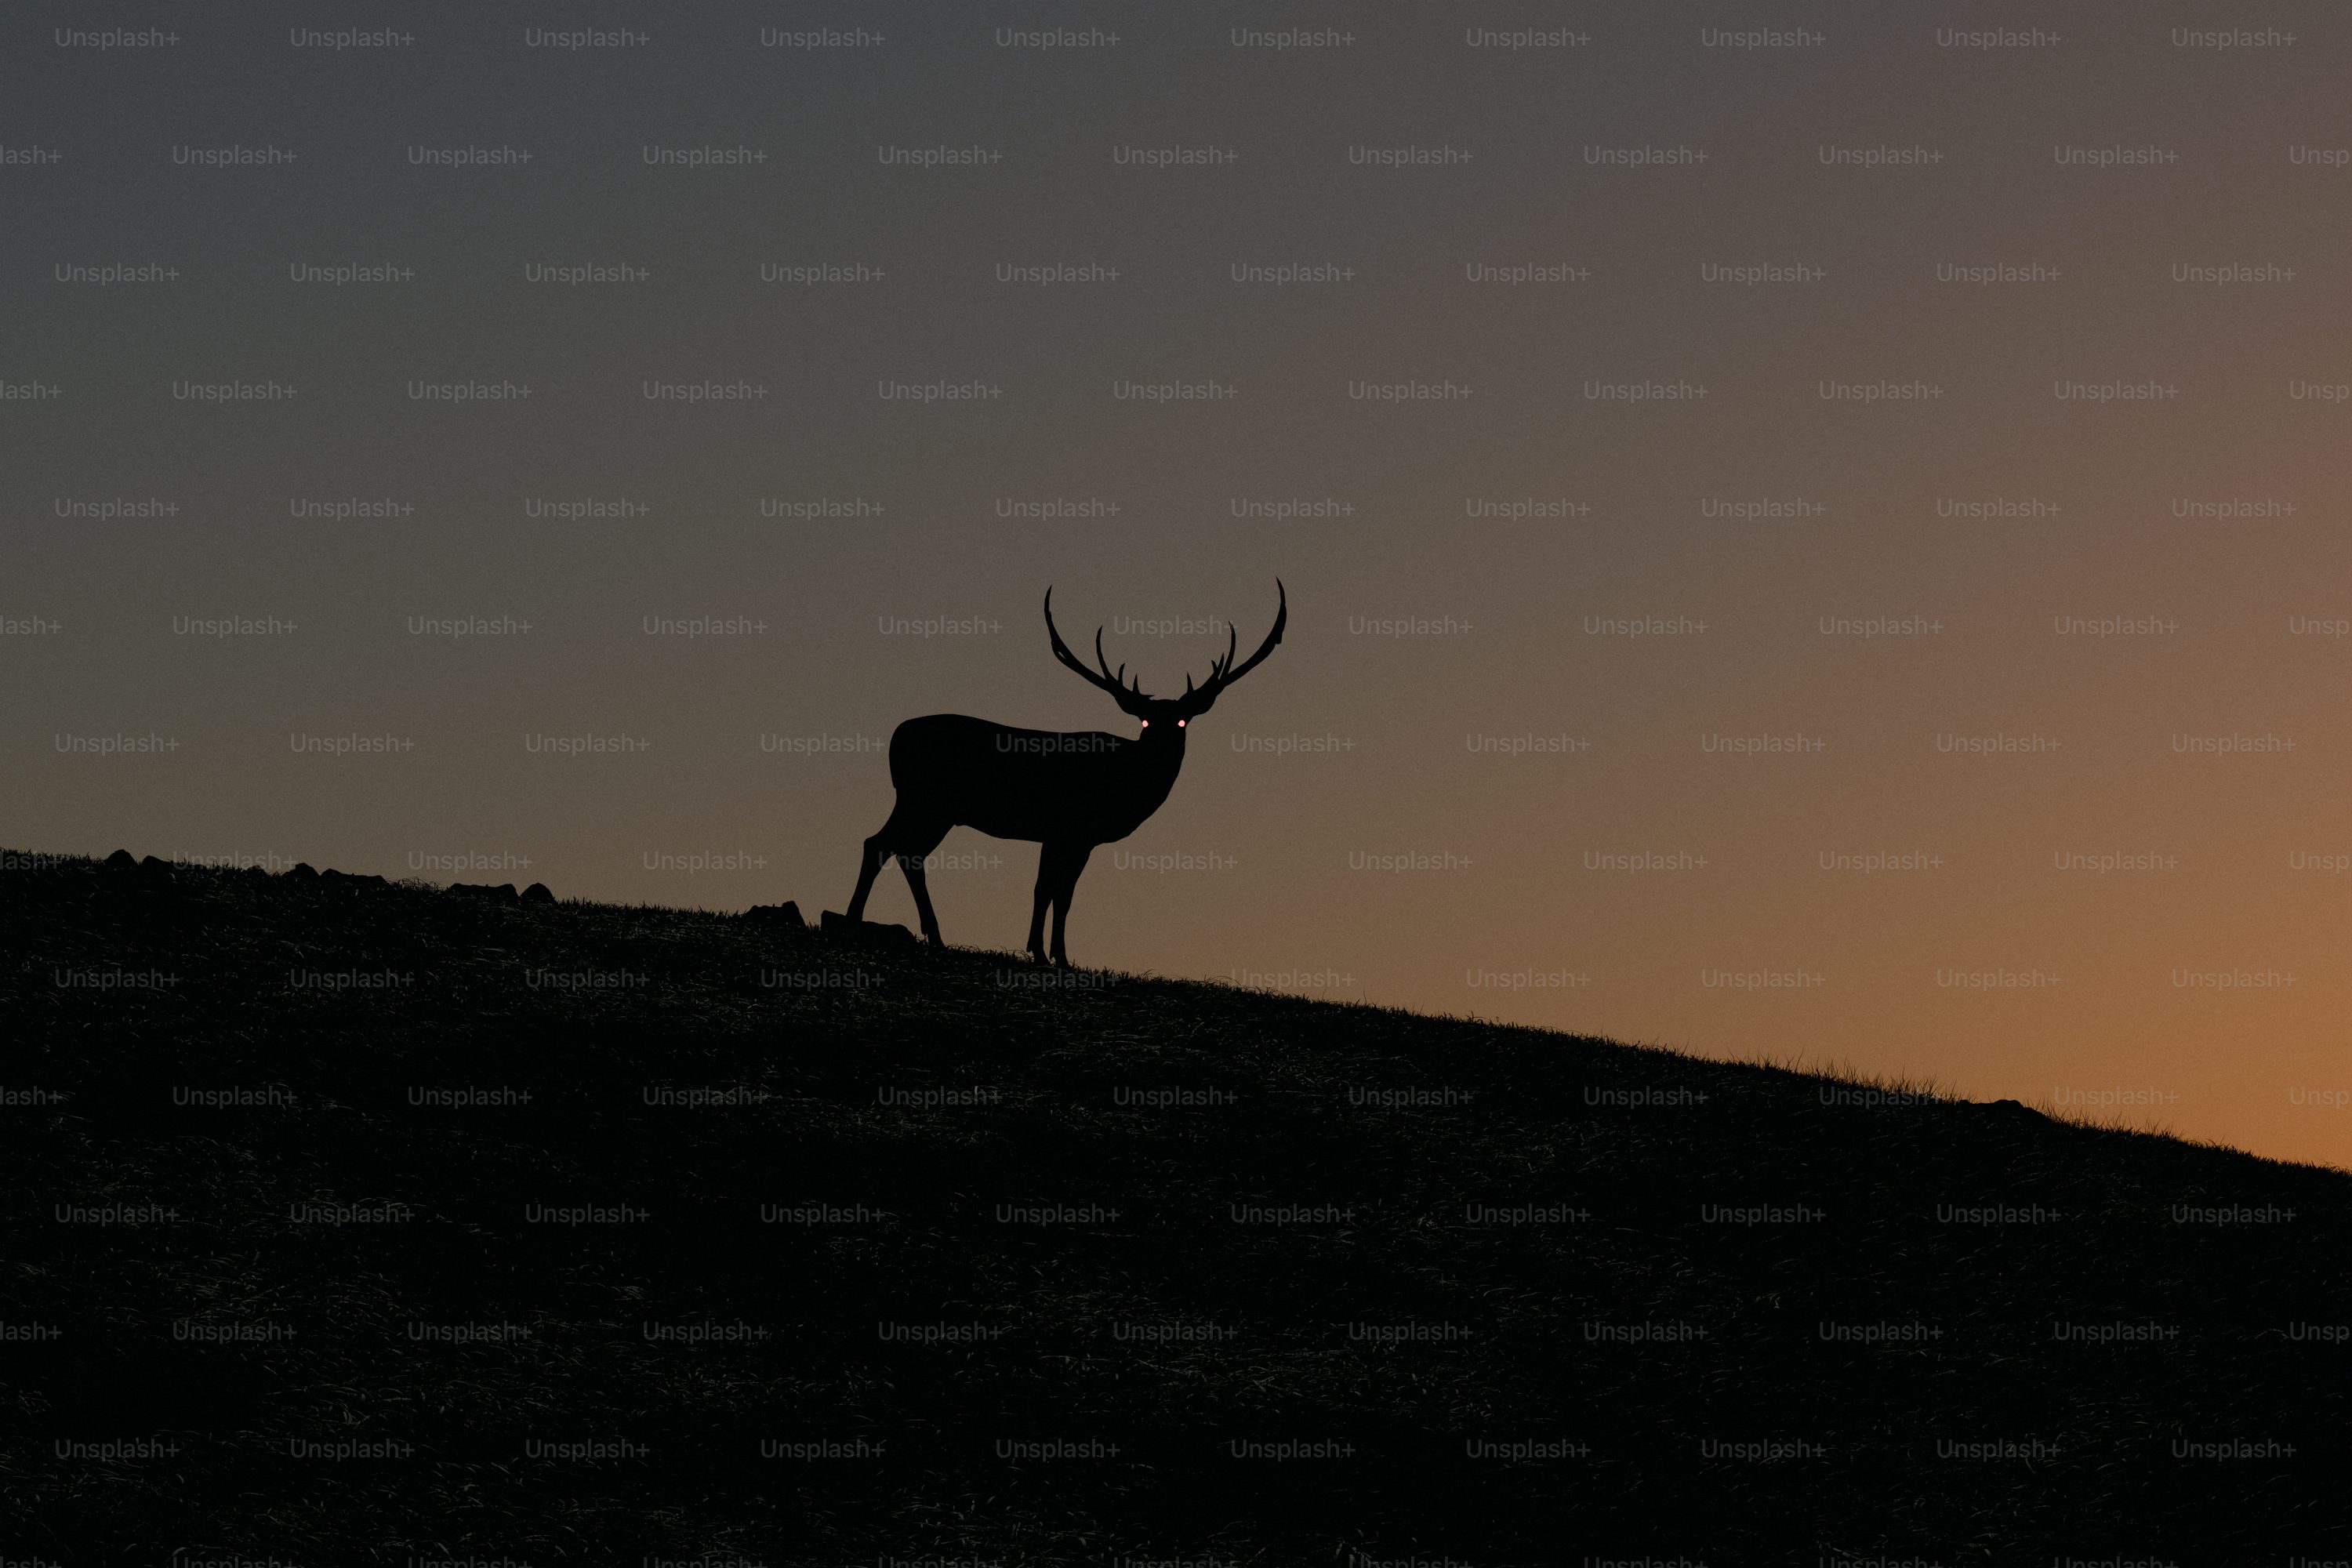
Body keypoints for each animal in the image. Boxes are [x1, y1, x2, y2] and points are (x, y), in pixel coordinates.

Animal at [844, 581, 1286, 967]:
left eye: (1181, 722)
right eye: (1145, 721)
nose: (1162, 746)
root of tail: (896, 737)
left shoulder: (1071, 837)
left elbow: (1058, 892)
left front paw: (1053, 954)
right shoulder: (1066, 828)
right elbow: (1051, 889)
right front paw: (1046, 954)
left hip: (934, 808)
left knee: (903, 851)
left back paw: (931, 935)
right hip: (924, 799)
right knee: (881, 844)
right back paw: (856, 921)